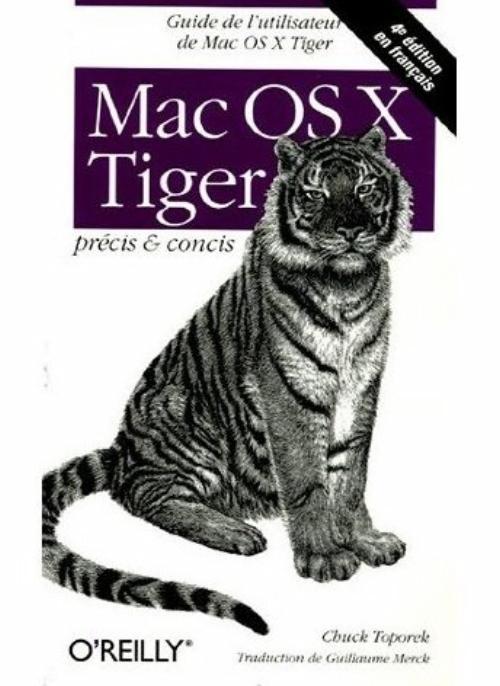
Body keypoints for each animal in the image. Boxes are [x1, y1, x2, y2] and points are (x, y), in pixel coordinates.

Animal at [42, 126, 413, 635]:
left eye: (364, 188)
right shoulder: (288, 391)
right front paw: (324, 556)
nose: (351, 232)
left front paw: (365, 540)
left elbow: (352, 476)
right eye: (316, 194)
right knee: (144, 495)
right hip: (180, 409)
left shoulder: (361, 386)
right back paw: (236, 532)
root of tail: (122, 448)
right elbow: (308, 481)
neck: (347, 286)